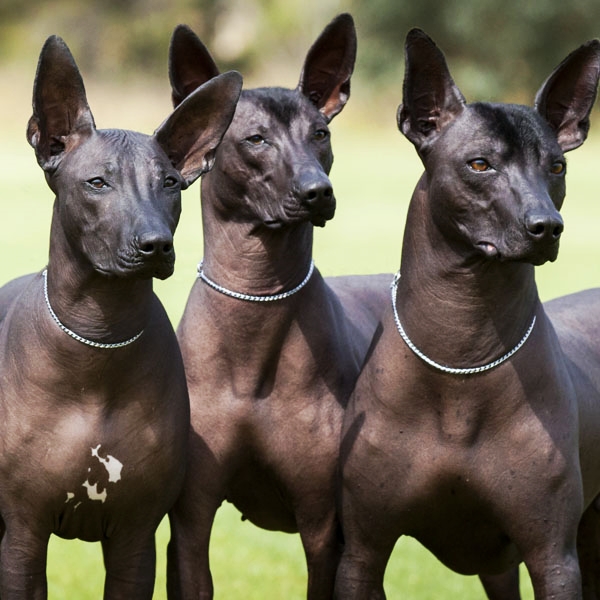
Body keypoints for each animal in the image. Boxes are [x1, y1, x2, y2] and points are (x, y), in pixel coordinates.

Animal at [0, 36, 243, 596]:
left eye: (171, 183)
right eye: (97, 182)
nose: (156, 244)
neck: (98, 338)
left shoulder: (135, 538)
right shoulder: (22, 534)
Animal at [164, 14, 390, 600]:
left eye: (321, 134)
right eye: (256, 139)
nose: (318, 191)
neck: (257, 300)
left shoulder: (322, 529)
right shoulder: (190, 523)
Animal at [336, 29, 600, 600]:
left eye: (557, 166)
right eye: (480, 164)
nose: (548, 226)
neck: (463, 347)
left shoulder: (553, 557)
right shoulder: (361, 553)